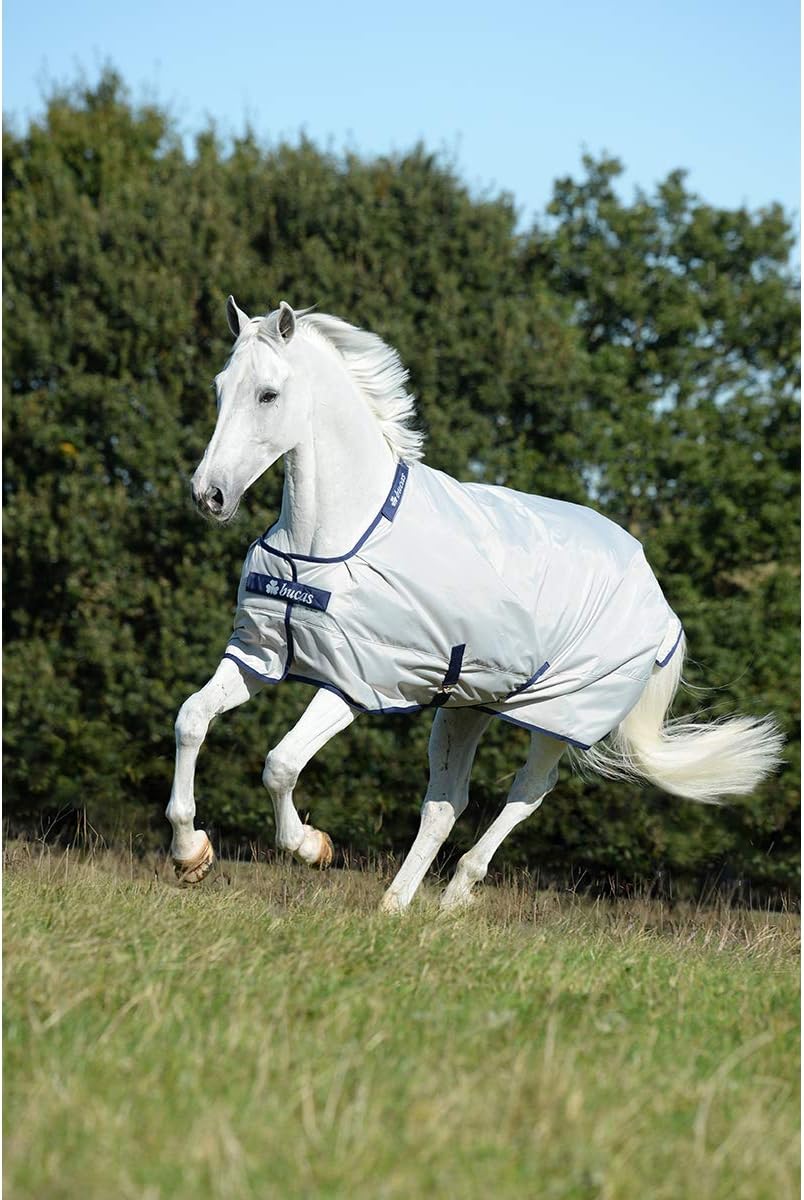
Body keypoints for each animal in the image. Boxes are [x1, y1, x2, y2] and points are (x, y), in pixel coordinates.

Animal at [166, 298, 783, 909]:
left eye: (268, 394)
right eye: (220, 387)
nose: (208, 495)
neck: (331, 541)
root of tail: (659, 602)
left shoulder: (356, 683)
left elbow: (280, 764)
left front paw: (313, 847)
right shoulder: (261, 656)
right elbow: (191, 719)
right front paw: (191, 854)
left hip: (557, 715)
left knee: (529, 791)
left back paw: (456, 896)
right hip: (464, 706)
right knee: (445, 805)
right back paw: (396, 908)